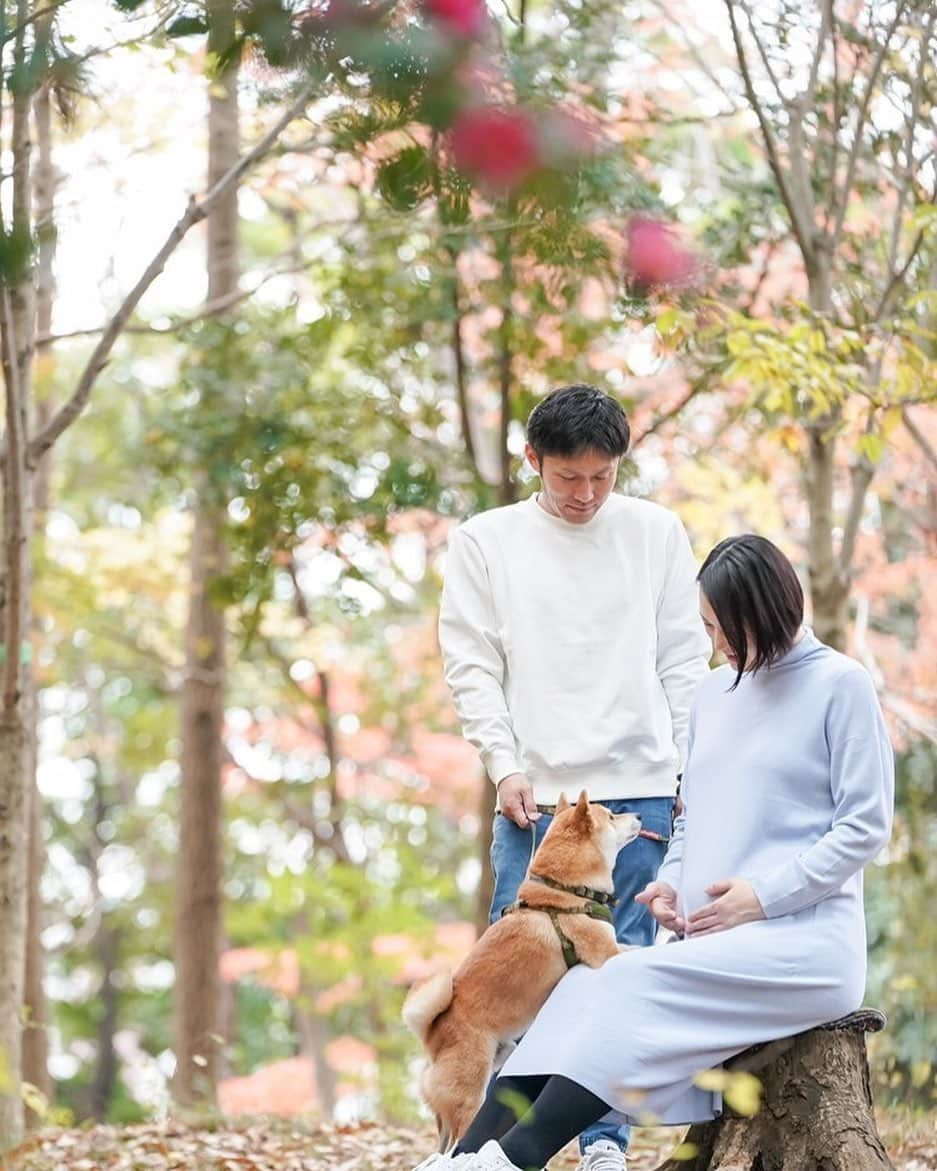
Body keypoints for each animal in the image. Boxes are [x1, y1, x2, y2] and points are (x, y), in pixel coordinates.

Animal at [398, 791, 641, 1147]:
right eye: (611, 816)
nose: (638, 816)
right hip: (471, 1093)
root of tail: (431, 1035)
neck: (563, 890)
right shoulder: (604, 953)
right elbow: (635, 951)